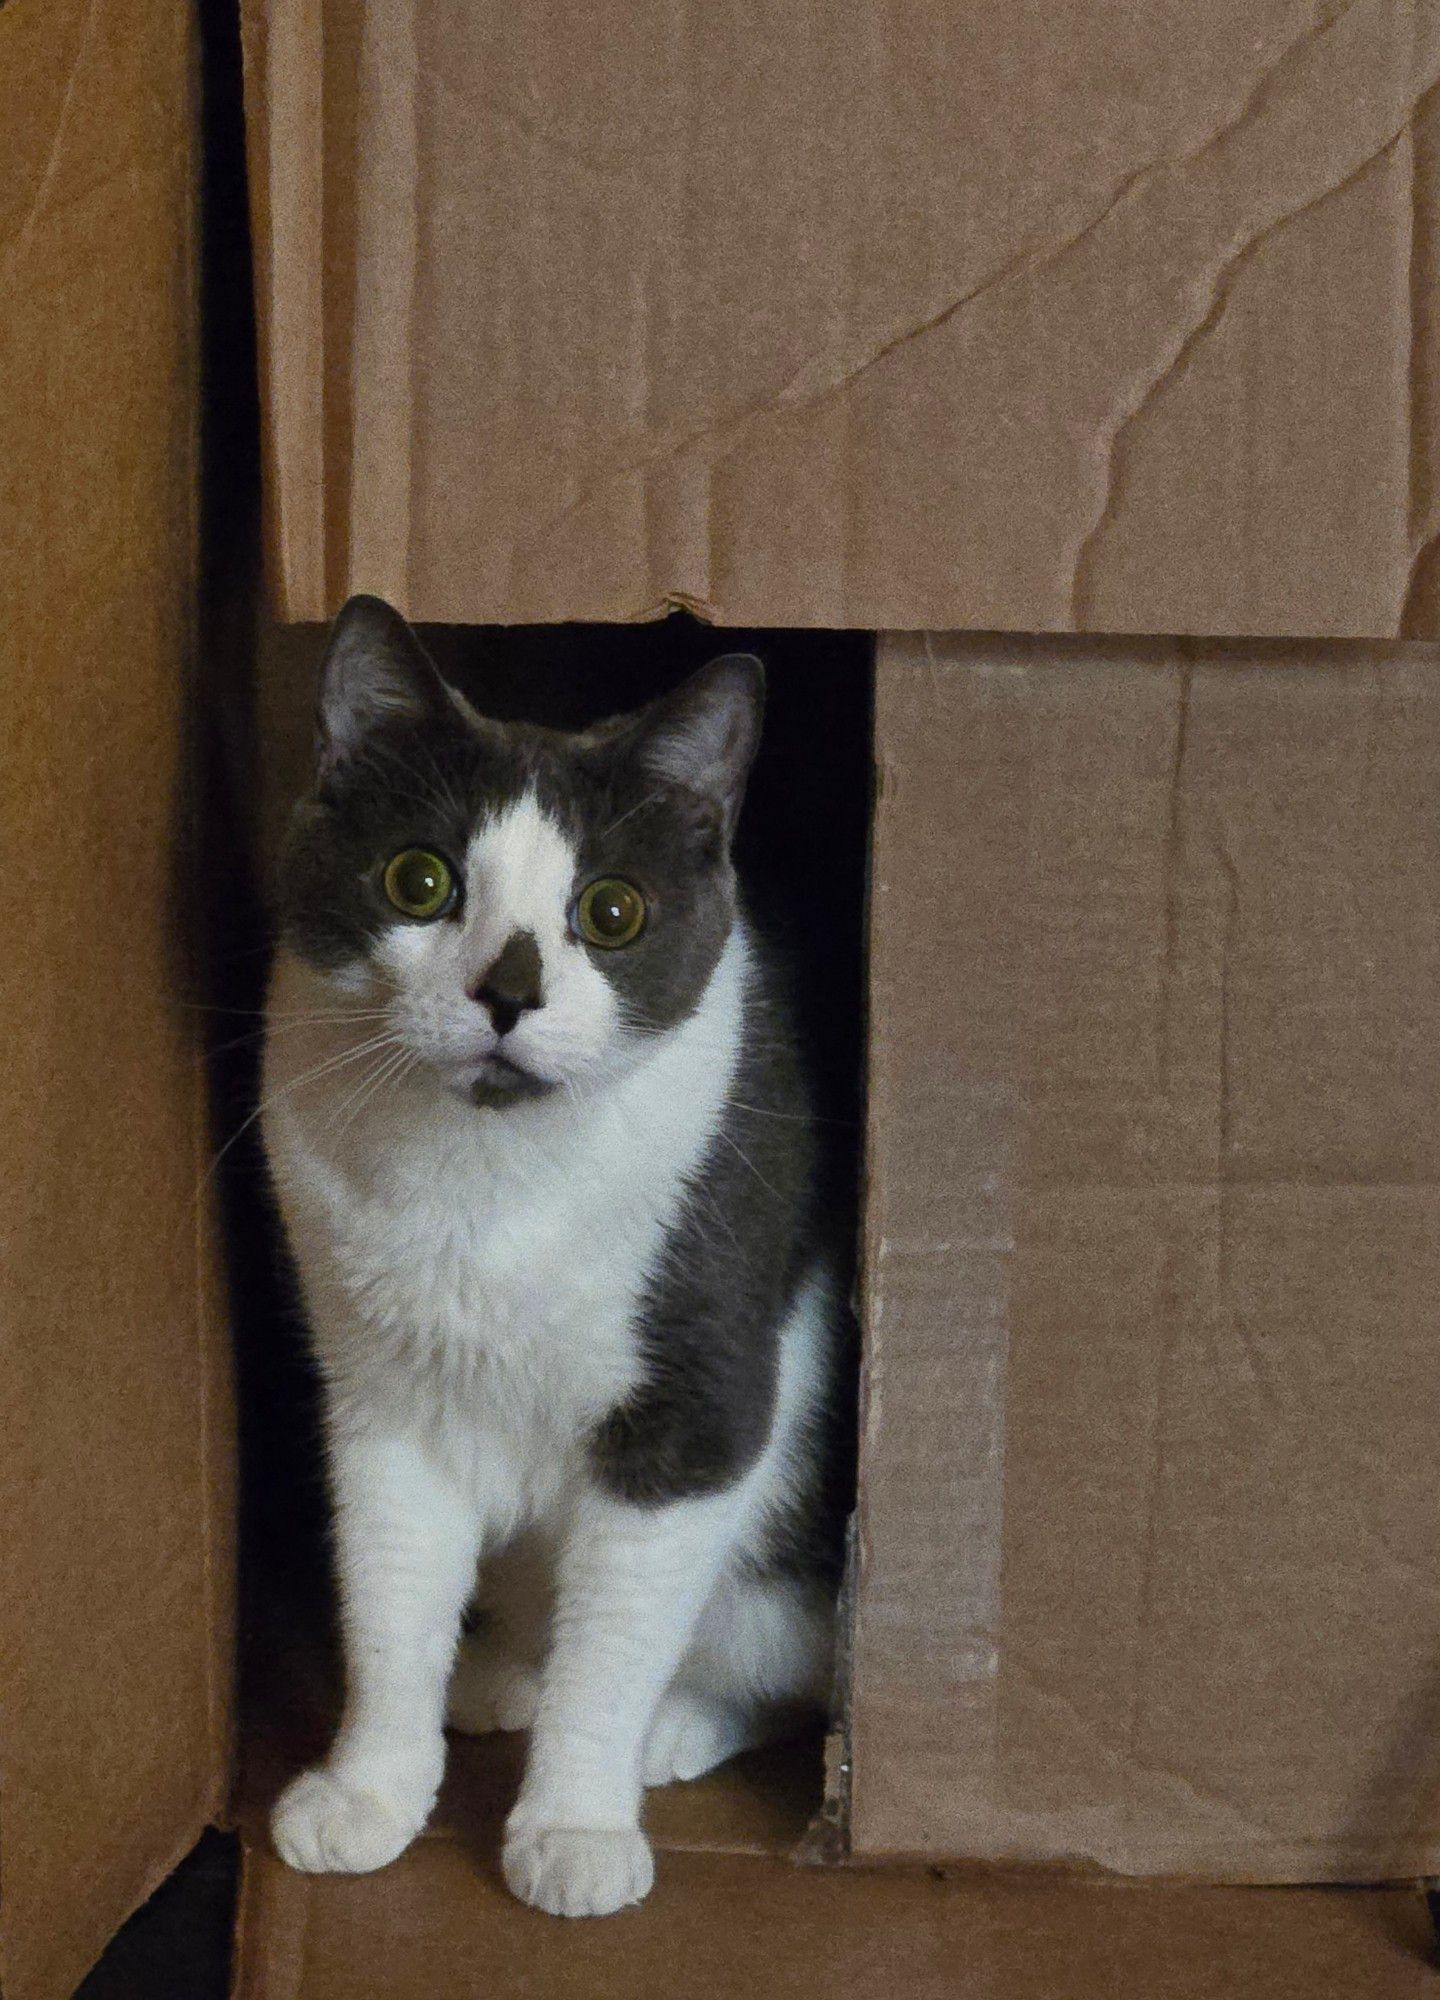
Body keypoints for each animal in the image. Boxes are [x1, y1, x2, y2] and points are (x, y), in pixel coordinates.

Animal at [262, 596, 848, 1920]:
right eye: (419, 879)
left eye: (613, 911)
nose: (508, 991)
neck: (487, 1183)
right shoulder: (380, 1396)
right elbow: (389, 1599)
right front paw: (370, 1789)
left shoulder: (695, 1407)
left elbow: (615, 1641)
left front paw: (576, 1824)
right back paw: (498, 1674)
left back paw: (675, 1725)